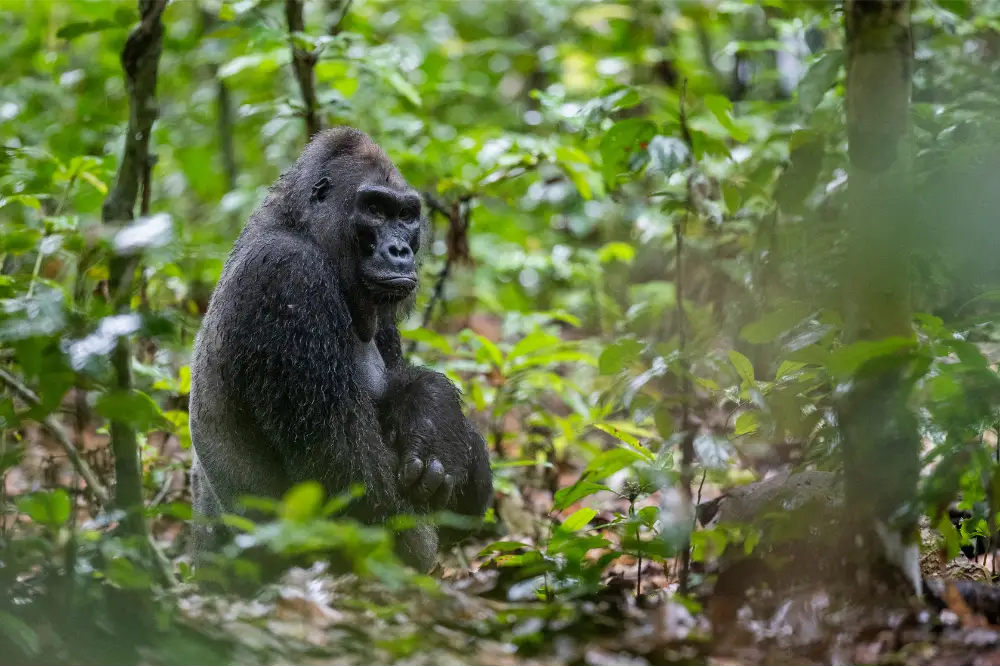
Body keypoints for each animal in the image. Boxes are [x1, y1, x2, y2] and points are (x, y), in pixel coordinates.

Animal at [187, 127, 493, 572]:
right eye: (375, 209)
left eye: (406, 216)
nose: (400, 251)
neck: (303, 228)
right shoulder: (288, 277)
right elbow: (351, 480)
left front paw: (437, 415)